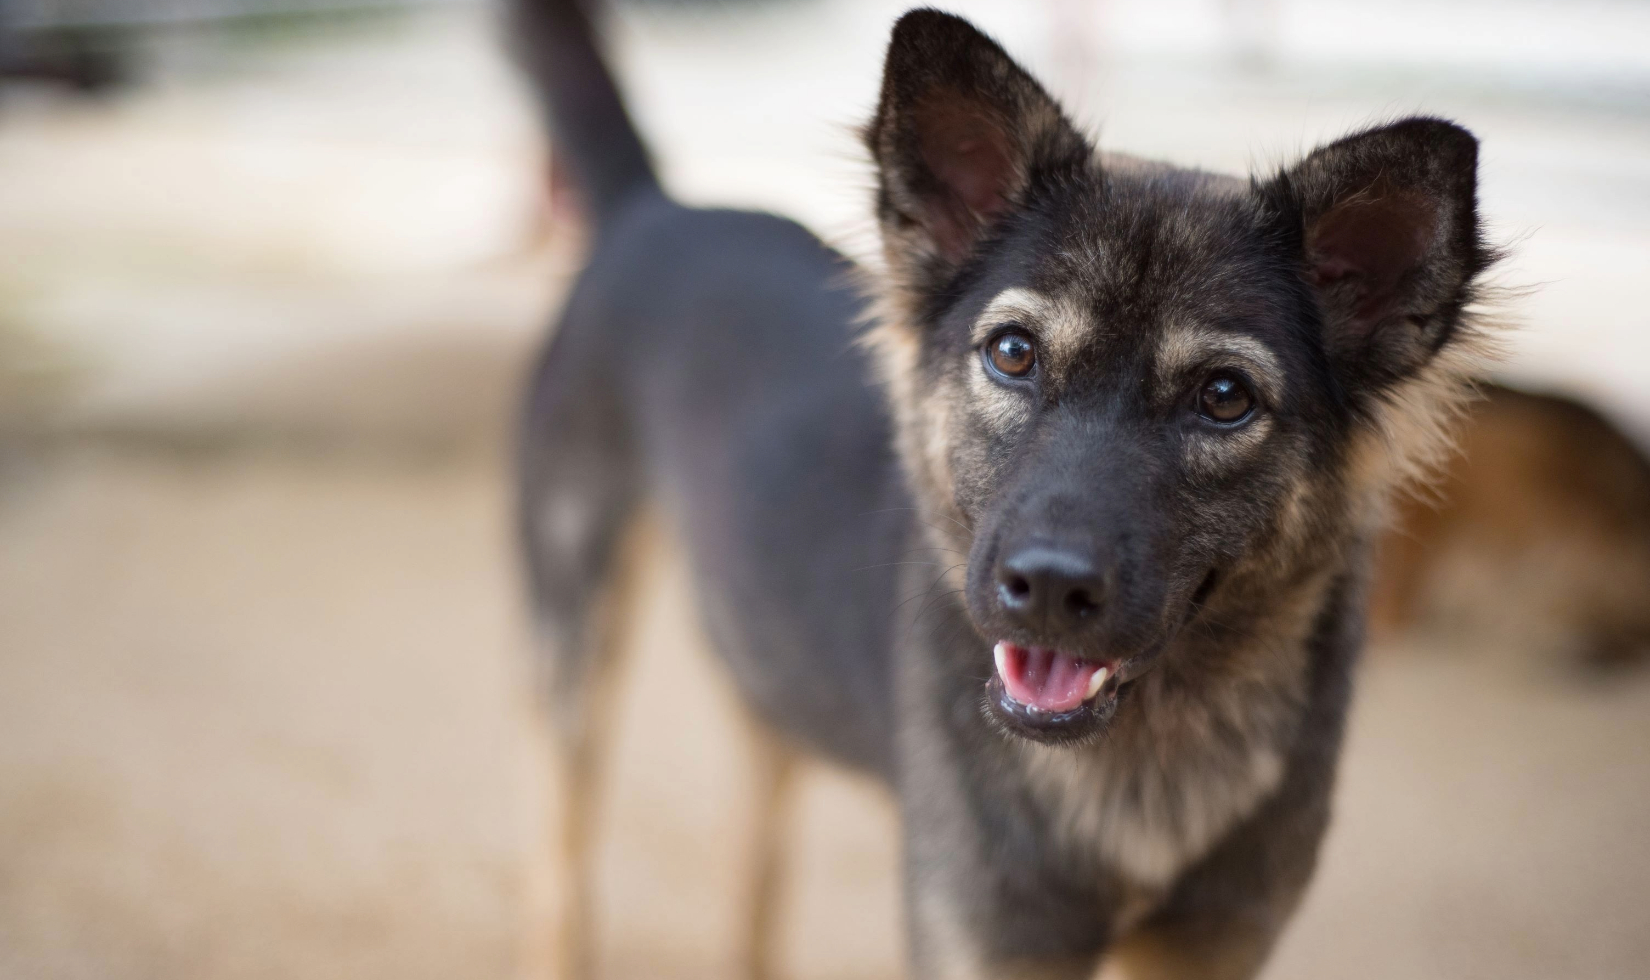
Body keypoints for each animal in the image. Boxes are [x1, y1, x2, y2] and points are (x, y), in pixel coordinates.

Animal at [514, 3, 1511, 970]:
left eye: (1225, 397)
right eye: (1014, 353)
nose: (1050, 588)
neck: (1143, 754)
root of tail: (653, 207)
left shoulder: (1211, 945)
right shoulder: (990, 939)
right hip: (576, 652)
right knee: (563, 872)